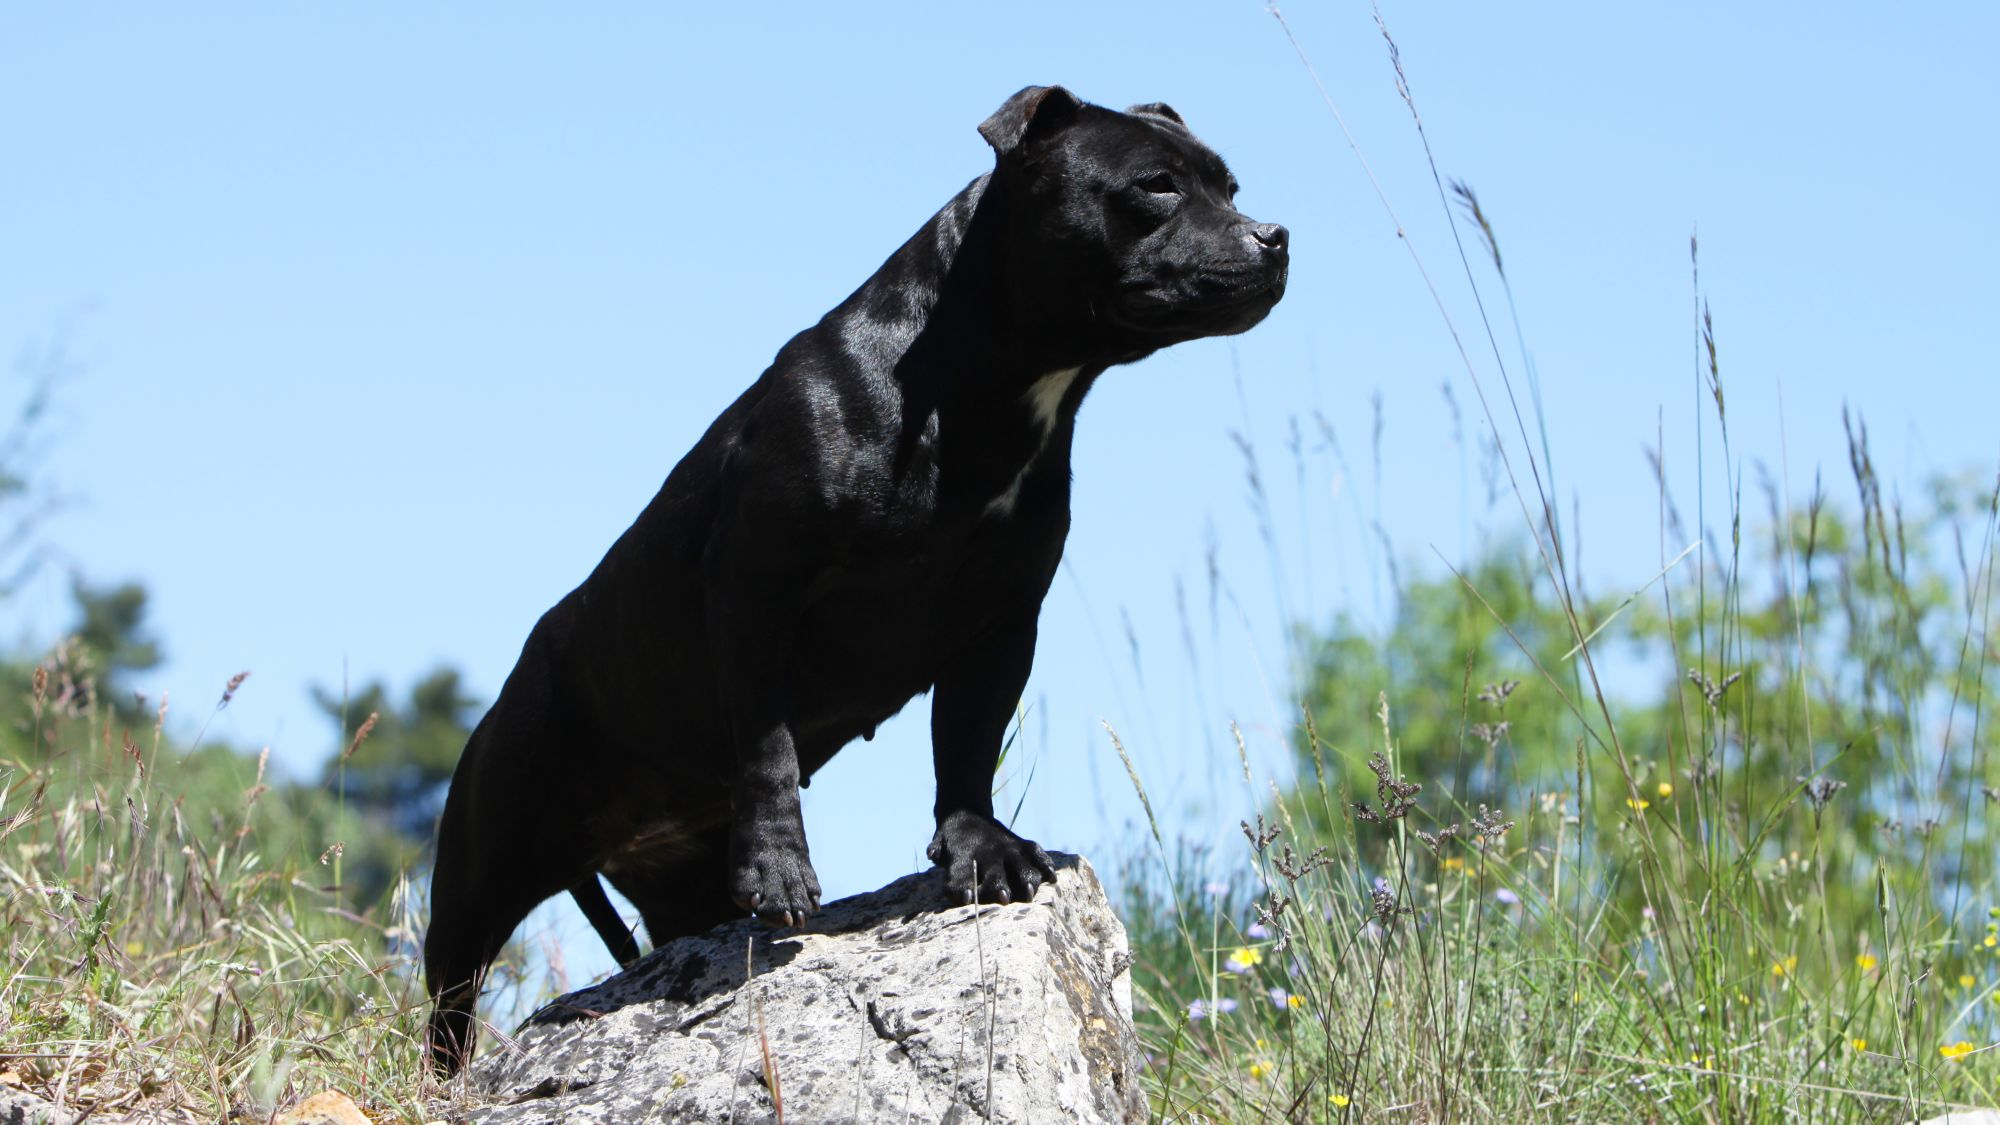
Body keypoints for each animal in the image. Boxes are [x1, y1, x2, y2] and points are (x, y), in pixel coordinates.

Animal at [428, 85, 1288, 1064]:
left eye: (1230, 187)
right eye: (1156, 186)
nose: (1273, 236)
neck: (987, 385)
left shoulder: (1001, 617)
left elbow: (966, 741)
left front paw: (980, 844)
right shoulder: (756, 579)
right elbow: (767, 740)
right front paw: (781, 862)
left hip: (681, 883)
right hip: (477, 873)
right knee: (448, 1000)